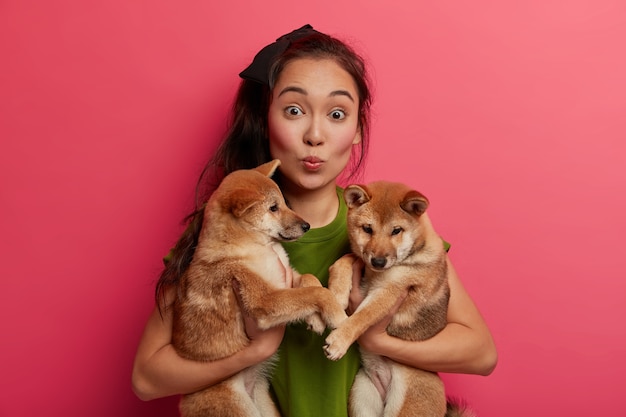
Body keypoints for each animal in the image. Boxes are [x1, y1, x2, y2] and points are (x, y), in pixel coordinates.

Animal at [171, 159, 346, 416]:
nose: (307, 225)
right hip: (238, 407)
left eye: (284, 203)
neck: (260, 248)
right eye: (273, 208)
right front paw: (337, 317)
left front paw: (315, 319)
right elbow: (316, 292)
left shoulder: (288, 278)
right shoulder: (264, 300)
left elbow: (310, 281)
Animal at [324, 181, 470, 416]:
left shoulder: (390, 291)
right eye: (367, 229)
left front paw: (340, 340)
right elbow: (345, 259)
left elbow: (362, 317)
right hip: (362, 397)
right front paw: (337, 293)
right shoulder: (362, 263)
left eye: (396, 231)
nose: (378, 261)